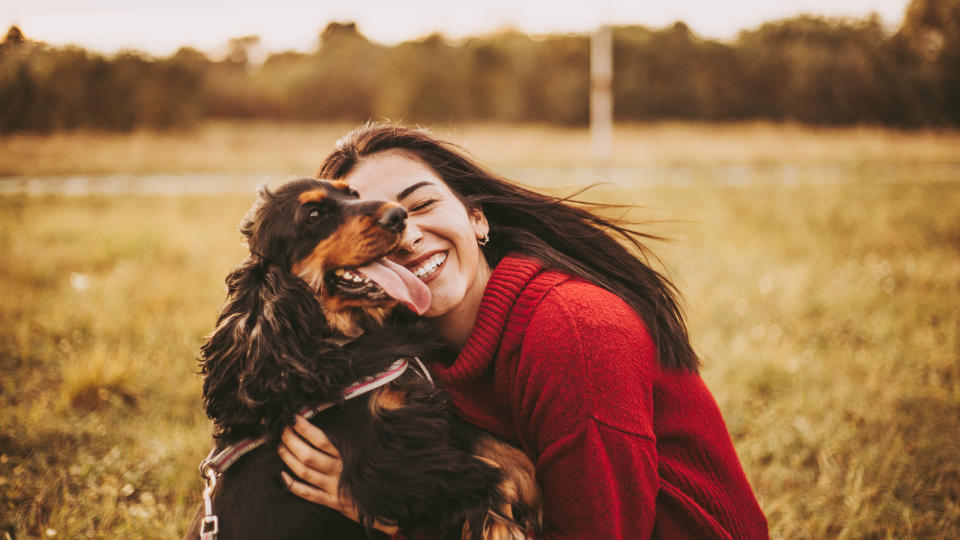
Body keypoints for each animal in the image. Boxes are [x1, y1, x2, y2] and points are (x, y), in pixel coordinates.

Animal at [181, 180, 540, 540]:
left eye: (352, 194)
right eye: (314, 215)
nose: (399, 216)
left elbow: (511, 457)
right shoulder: (383, 463)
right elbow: (492, 481)